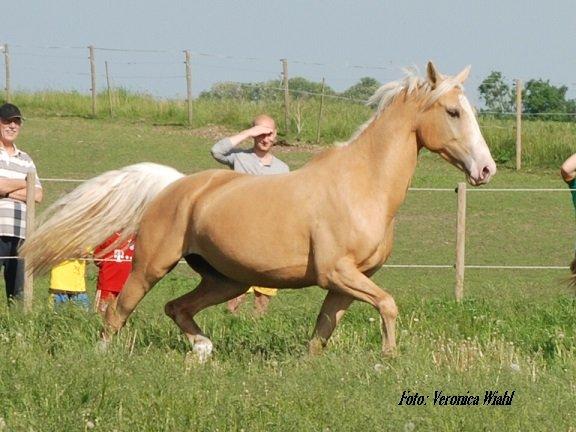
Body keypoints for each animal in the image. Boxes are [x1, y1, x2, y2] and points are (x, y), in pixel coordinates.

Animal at [20, 63, 496, 358]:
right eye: (453, 111)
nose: (486, 169)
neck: (361, 187)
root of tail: (174, 186)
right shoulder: (338, 272)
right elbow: (389, 306)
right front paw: (389, 358)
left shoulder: (347, 283)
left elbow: (322, 334)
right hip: (151, 265)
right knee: (118, 312)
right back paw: (105, 356)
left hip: (225, 279)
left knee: (177, 308)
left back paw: (203, 351)